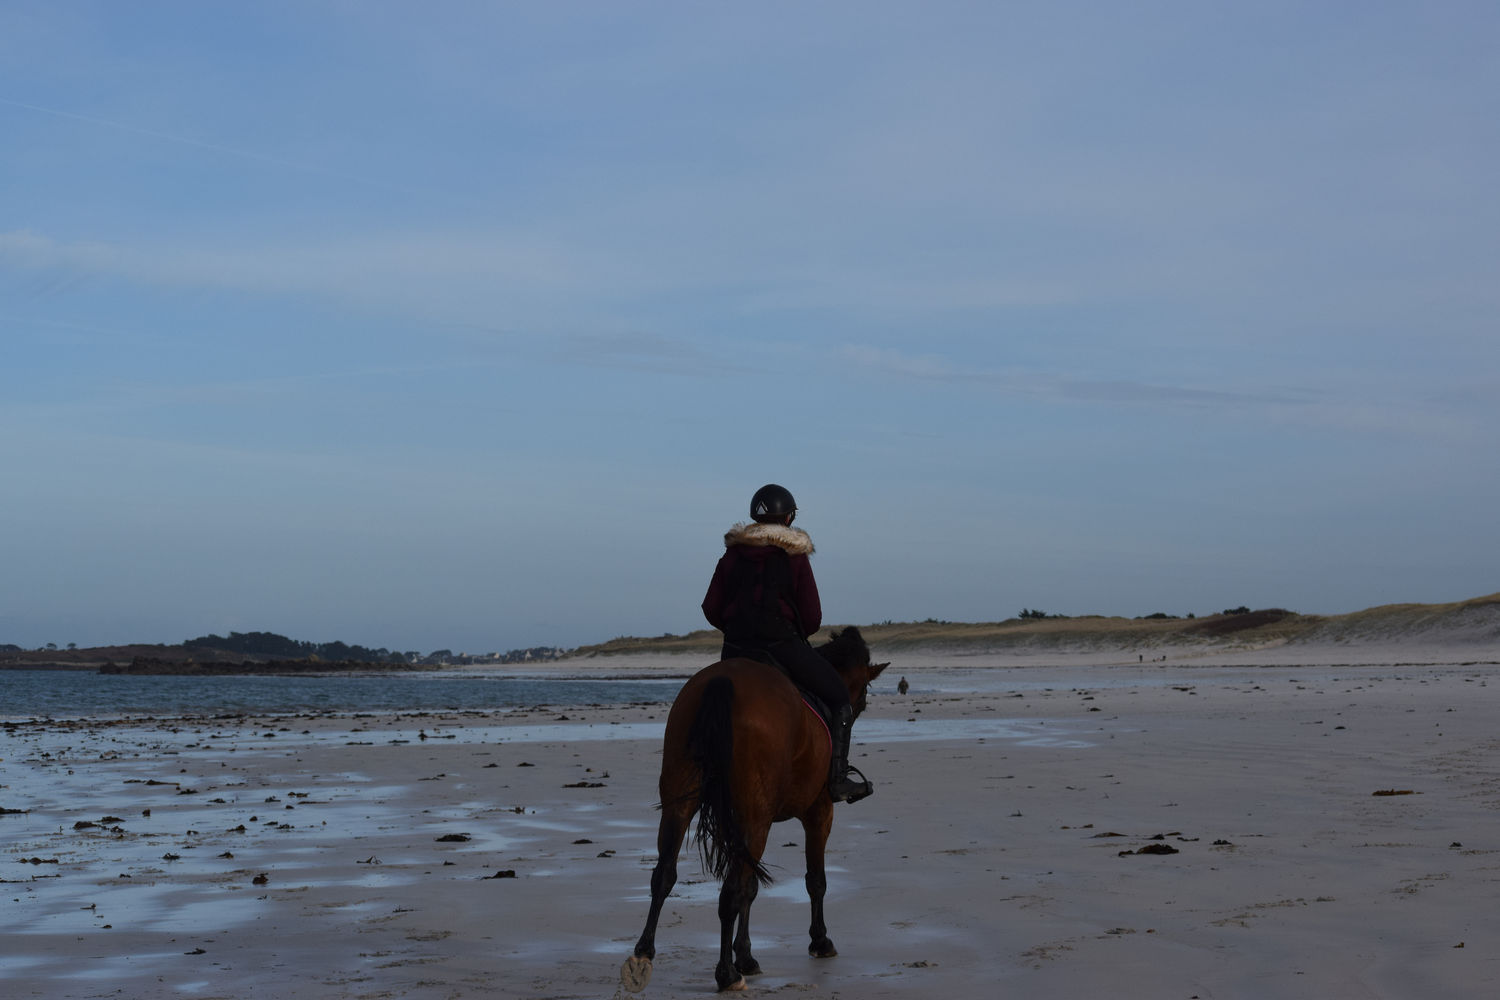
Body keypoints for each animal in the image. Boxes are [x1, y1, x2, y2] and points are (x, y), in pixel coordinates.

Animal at [624, 626, 882, 995]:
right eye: (862, 694)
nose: (858, 707)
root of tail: (723, 681)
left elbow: (751, 887)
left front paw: (745, 955)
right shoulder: (818, 814)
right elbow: (814, 880)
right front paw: (820, 941)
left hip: (680, 805)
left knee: (665, 875)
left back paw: (644, 952)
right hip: (754, 820)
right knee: (729, 892)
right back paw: (726, 975)